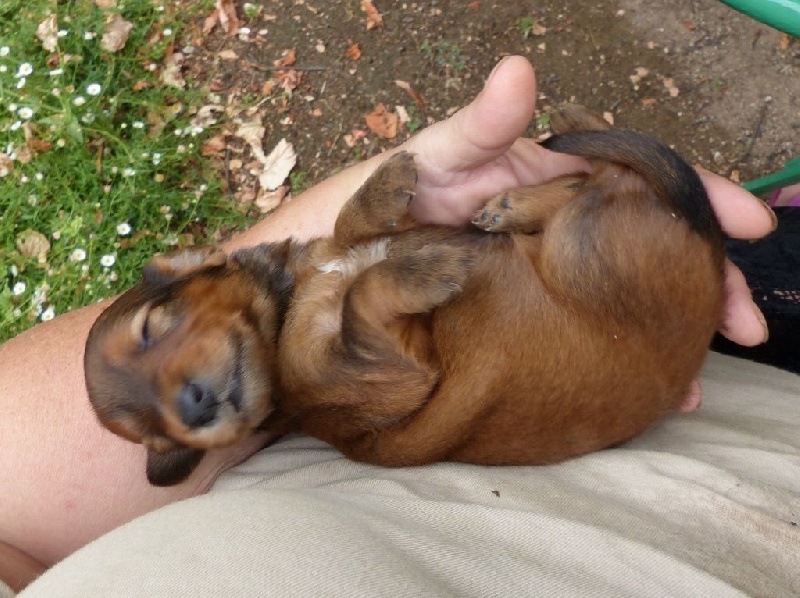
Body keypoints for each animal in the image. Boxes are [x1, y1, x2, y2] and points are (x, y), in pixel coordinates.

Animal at [84, 105, 726, 486]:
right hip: (581, 247)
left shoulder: (359, 245)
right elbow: (363, 298)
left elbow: (352, 230)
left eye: (153, 326)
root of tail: (711, 254)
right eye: (153, 432)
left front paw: (383, 187)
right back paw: (516, 205)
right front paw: (427, 268)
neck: (290, 311)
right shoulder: (394, 371)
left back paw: (509, 204)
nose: (191, 407)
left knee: (590, 179)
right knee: (600, 184)